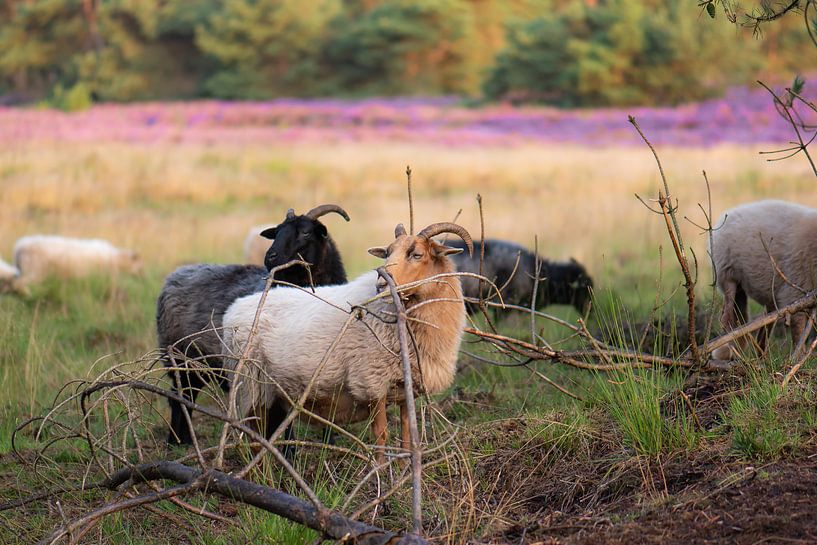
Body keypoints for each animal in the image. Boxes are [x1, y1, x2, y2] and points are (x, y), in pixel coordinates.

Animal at [12, 233, 143, 286]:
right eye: (140, 267)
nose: (143, 277)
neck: (116, 259)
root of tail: (19, 247)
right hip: (34, 271)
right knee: (18, 284)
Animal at [158, 202, 350, 444]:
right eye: (277, 232)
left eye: (306, 232)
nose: (270, 257)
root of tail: (174, 276)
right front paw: (287, 447)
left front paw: (328, 442)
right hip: (181, 357)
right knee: (178, 397)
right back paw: (176, 441)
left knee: (187, 396)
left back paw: (185, 440)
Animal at [708, 198, 816, 360]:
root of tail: (730, 212)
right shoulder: (796, 293)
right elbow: (799, 336)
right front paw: (797, 360)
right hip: (727, 276)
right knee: (727, 320)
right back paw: (733, 354)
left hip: (755, 293)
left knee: (756, 326)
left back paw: (761, 359)